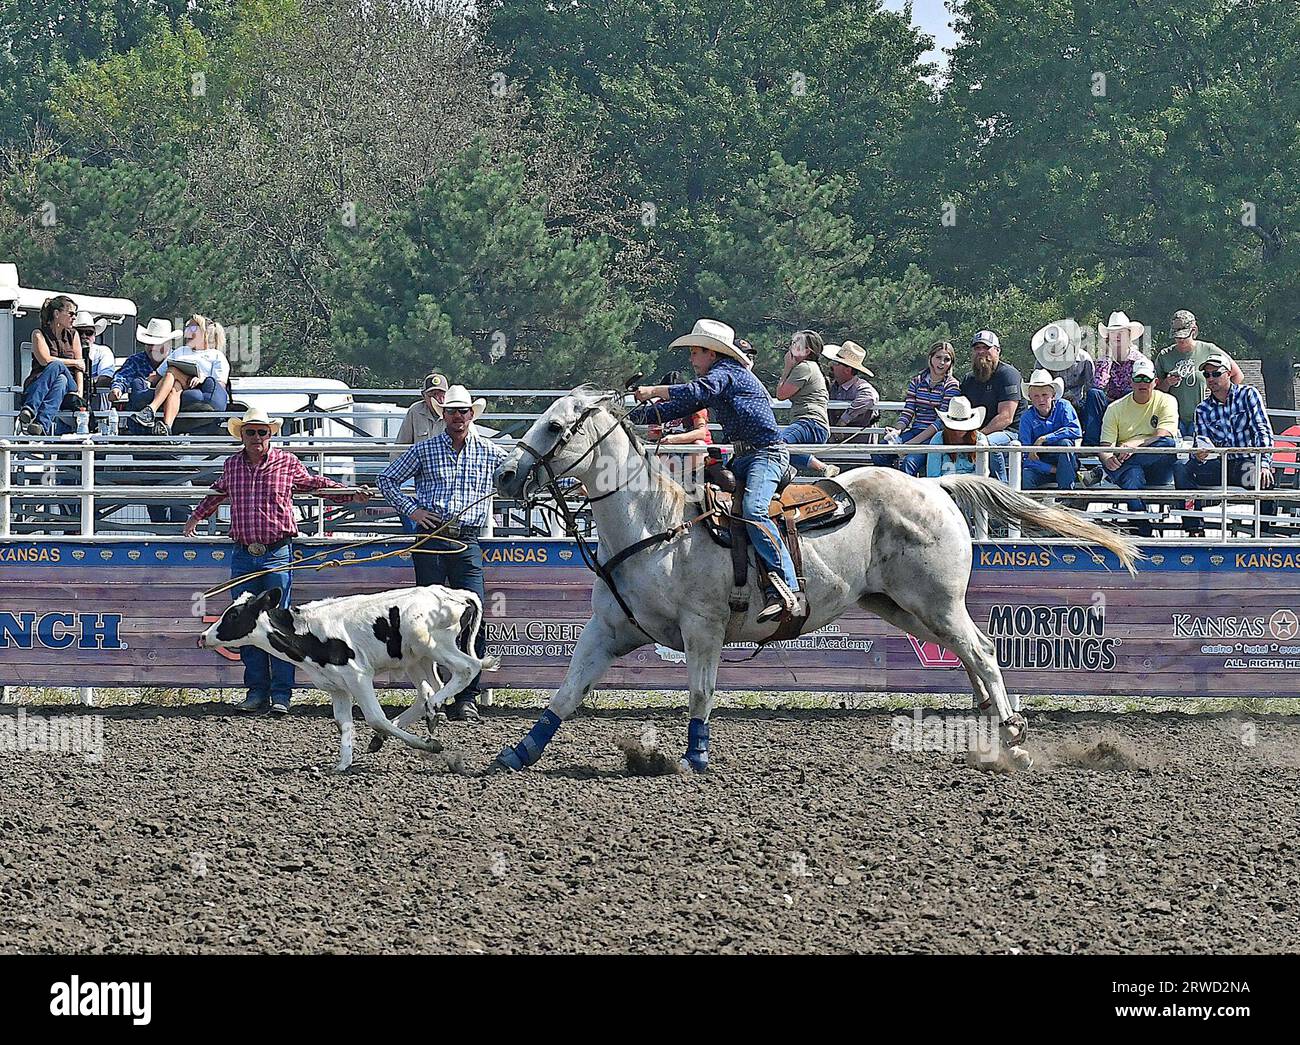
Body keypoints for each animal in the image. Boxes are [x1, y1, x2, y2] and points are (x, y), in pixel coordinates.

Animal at [197, 584, 496, 769]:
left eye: (233, 615)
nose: (202, 637)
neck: (308, 632)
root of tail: (454, 594)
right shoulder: (336, 687)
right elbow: (343, 723)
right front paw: (341, 764)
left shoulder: (358, 676)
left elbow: (376, 718)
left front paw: (429, 745)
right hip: (417, 658)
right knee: (429, 690)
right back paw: (413, 722)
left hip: (434, 645)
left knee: (466, 669)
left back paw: (431, 711)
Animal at [488, 387, 1138, 769]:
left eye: (555, 428)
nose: (504, 476)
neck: (658, 526)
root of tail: (935, 484)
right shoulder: (606, 628)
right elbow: (565, 692)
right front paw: (515, 755)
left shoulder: (704, 630)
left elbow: (700, 693)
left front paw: (696, 759)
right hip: (900, 606)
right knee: (968, 652)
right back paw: (990, 724)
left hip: (938, 600)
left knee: (980, 650)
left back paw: (1010, 732)